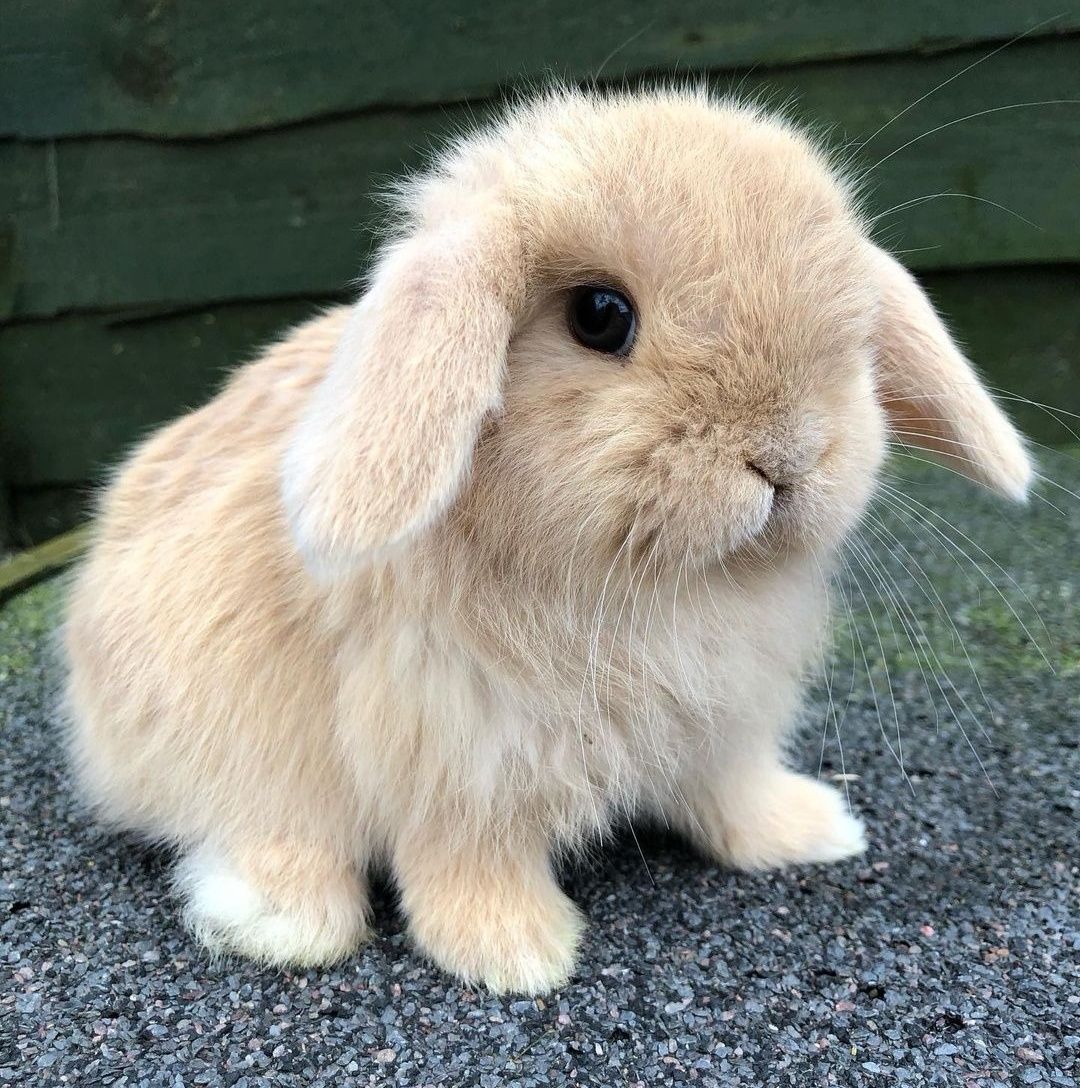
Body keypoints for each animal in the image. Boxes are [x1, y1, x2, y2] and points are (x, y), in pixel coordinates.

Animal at [65, 87, 1026, 996]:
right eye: (599, 315)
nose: (786, 456)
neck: (658, 585)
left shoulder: (724, 726)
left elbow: (734, 792)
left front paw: (812, 830)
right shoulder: (457, 759)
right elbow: (467, 863)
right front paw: (517, 953)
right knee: (256, 824)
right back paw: (278, 919)